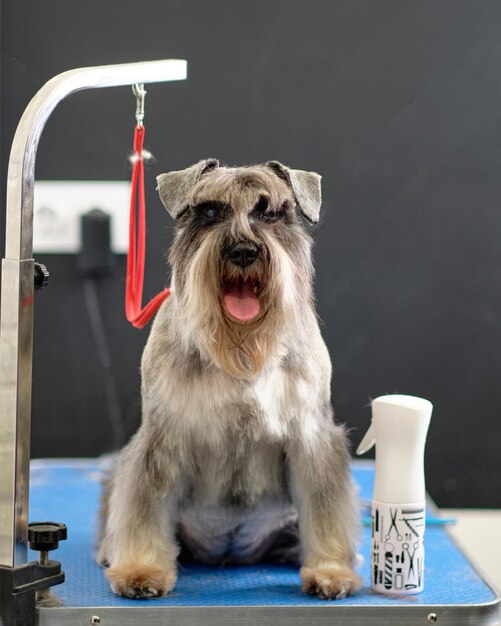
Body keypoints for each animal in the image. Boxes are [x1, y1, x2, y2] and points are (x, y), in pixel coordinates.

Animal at [97, 158, 362, 596]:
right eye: (210, 211)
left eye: (270, 213)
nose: (243, 250)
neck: (241, 348)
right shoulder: (161, 439)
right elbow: (144, 505)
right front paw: (141, 569)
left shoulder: (312, 436)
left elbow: (327, 509)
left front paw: (330, 571)